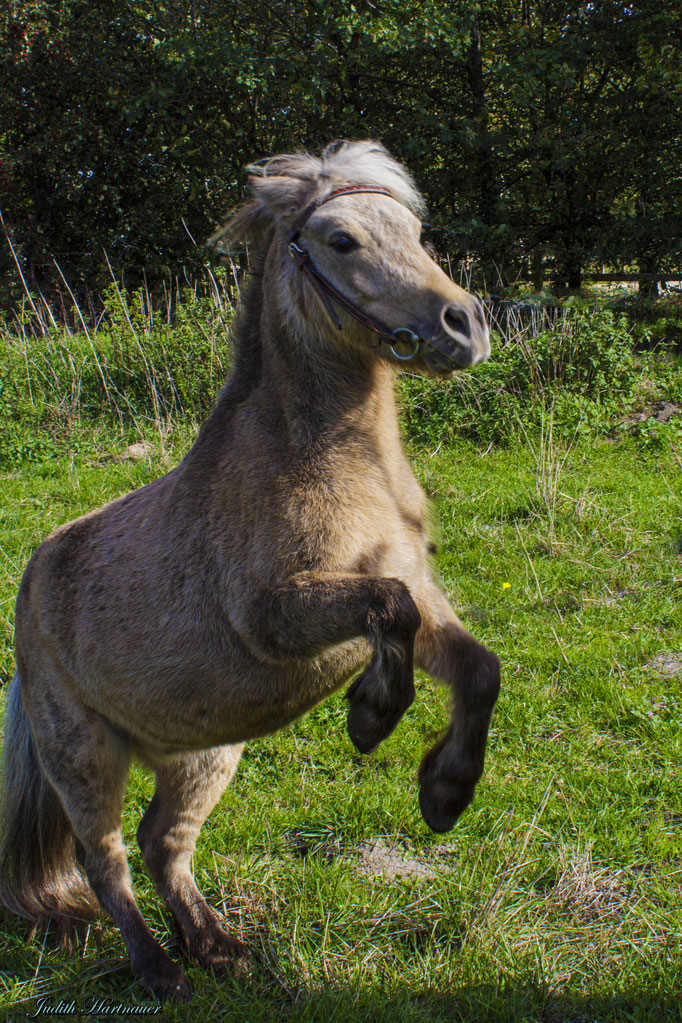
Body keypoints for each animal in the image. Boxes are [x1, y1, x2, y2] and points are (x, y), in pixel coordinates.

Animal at [0, 140, 500, 1002]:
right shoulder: (276, 616)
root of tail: (31, 586)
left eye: (414, 230)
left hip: (202, 750)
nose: (463, 324)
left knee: (165, 842)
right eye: (340, 240)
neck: (332, 466)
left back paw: (218, 946)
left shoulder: (423, 600)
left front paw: (444, 792)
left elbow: (476, 667)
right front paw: (373, 714)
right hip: (84, 755)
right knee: (106, 858)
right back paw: (159, 969)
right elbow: (388, 607)